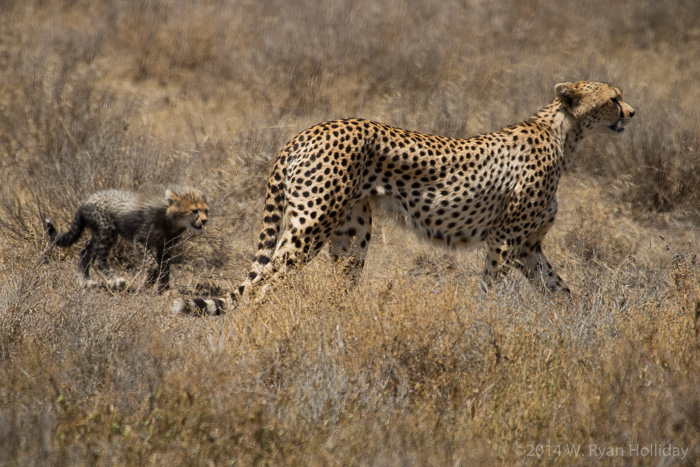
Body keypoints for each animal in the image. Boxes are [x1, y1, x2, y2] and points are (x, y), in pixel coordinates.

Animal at [46, 185, 209, 292]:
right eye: (194, 211)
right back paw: (114, 280)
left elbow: (165, 267)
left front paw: (164, 289)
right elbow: (153, 264)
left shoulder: (165, 247)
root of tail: (86, 200)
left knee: (85, 253)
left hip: (98, 232)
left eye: (206, 210)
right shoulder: (140, 241)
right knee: (98, 259)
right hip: (107, 230)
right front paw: (149, 284)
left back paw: (85, 281)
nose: (205, 220)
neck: (171, 220)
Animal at [176, 81, 634, 315]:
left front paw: (583, 318)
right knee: (261, 284)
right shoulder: (505, 240)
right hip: (311, 225)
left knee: (336, 283)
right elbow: (492, 288)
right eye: (613, 98)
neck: (565, 134)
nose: (632, 113)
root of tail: (307, 130)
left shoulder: (528, 245)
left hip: (351, 234)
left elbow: (559, 288)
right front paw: (485, 325)